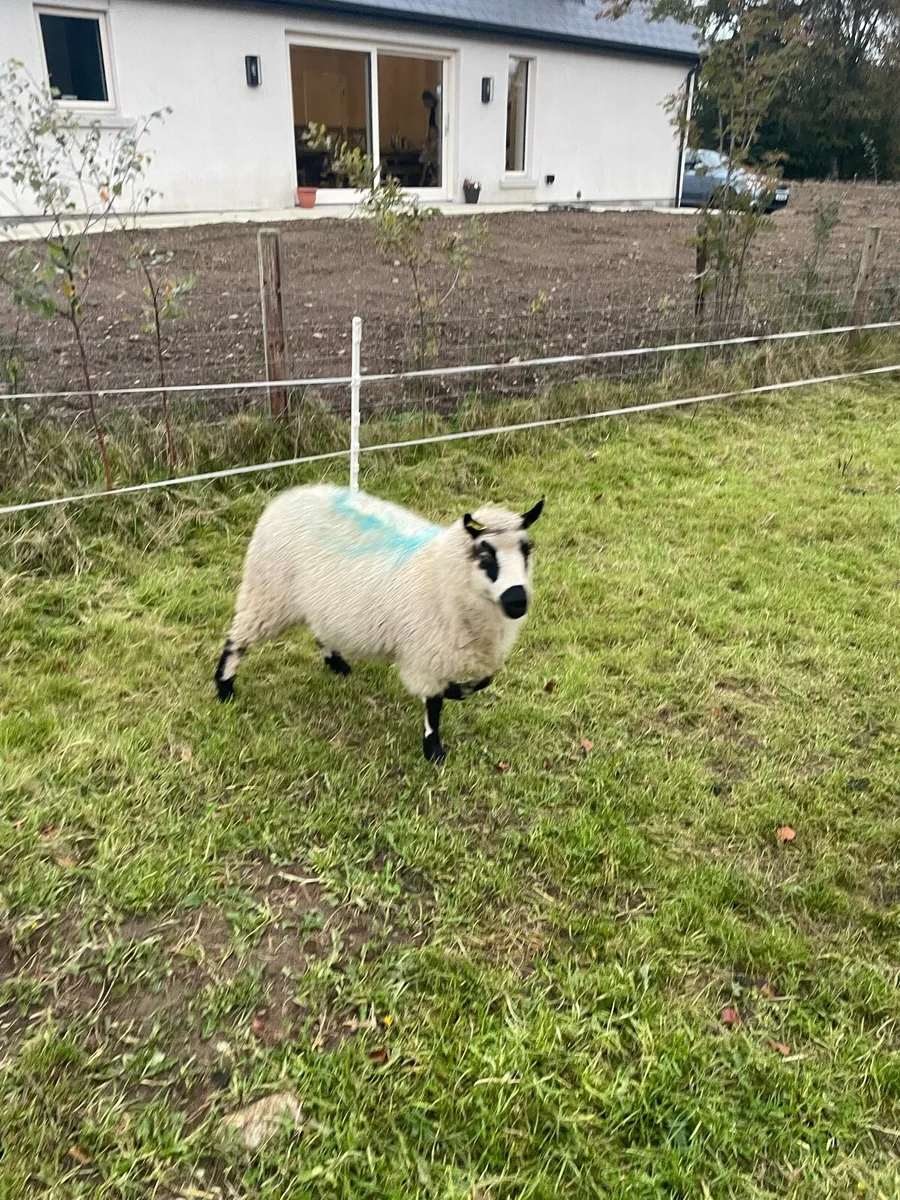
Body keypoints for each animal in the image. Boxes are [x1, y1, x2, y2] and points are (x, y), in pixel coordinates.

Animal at [214, 484, 544, 762]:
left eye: (527, 549)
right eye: (485, 554)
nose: (517, 601)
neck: (444, 573)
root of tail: (287, 496)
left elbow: (483, 680)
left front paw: (456, 692)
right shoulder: (425, 652)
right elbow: (434, 703)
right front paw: (433, 750)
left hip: (318, 600)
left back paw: (336, 663)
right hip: (268, 593)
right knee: (238, 638)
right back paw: (224, 687)